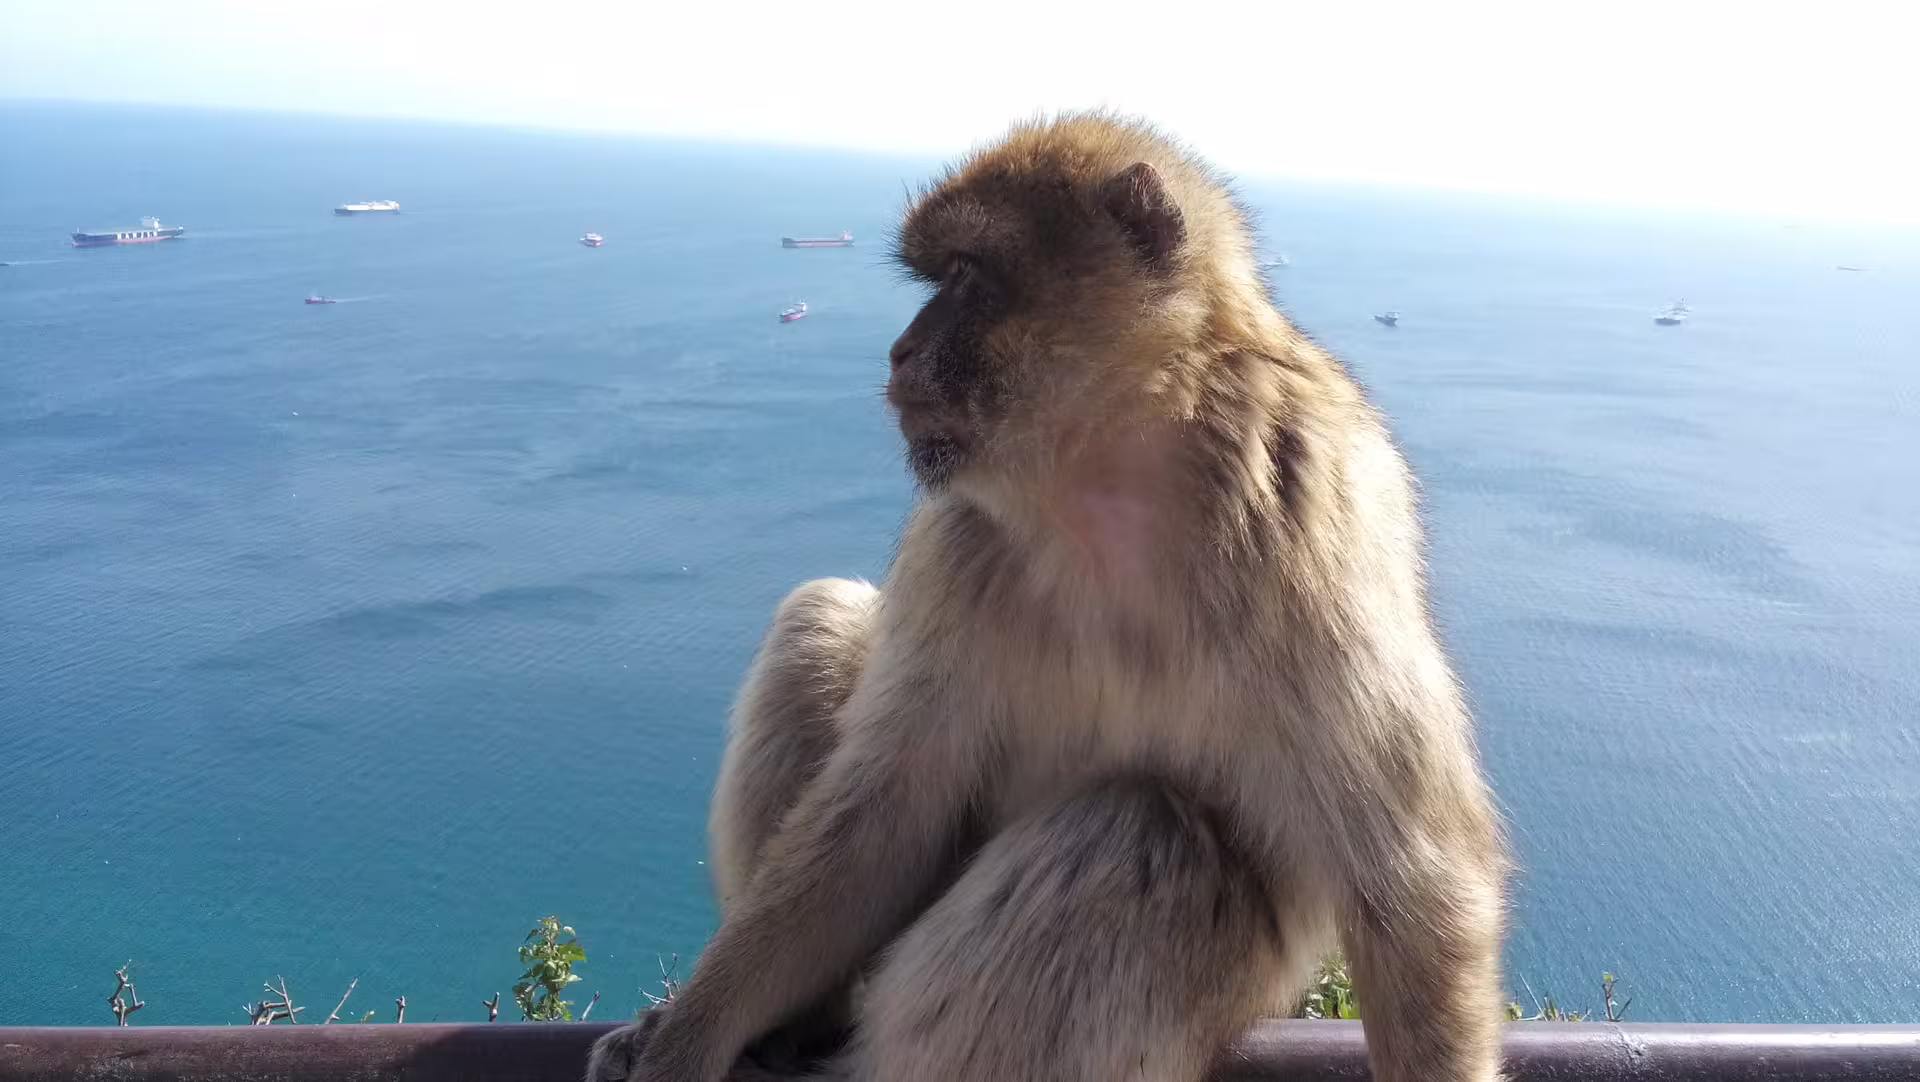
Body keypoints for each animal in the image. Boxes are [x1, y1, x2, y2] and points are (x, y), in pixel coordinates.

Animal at [589, 110, 1510, 1082]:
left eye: (965, 275)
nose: (900, 350)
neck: (1107, 483)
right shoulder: (957, 542)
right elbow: (883, 821)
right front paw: (689, 1037)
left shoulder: (1310, 519)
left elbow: (1412, 883)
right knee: (824, 616)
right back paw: (790, 1028)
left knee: (1141, 836)